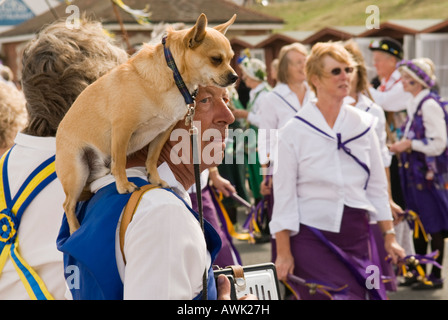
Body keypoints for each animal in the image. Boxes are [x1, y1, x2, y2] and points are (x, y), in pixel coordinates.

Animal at [55, 13, 238, 232]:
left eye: (231, 59)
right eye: (216, 59)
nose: (235, 76)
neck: (174, 77)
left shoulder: (163, 130)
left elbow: (152, 157)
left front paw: (155, 179)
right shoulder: (122, 129)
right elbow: (120, 161)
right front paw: (123, 185)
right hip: (77, 170)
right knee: (67, 204)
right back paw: (74, 228)